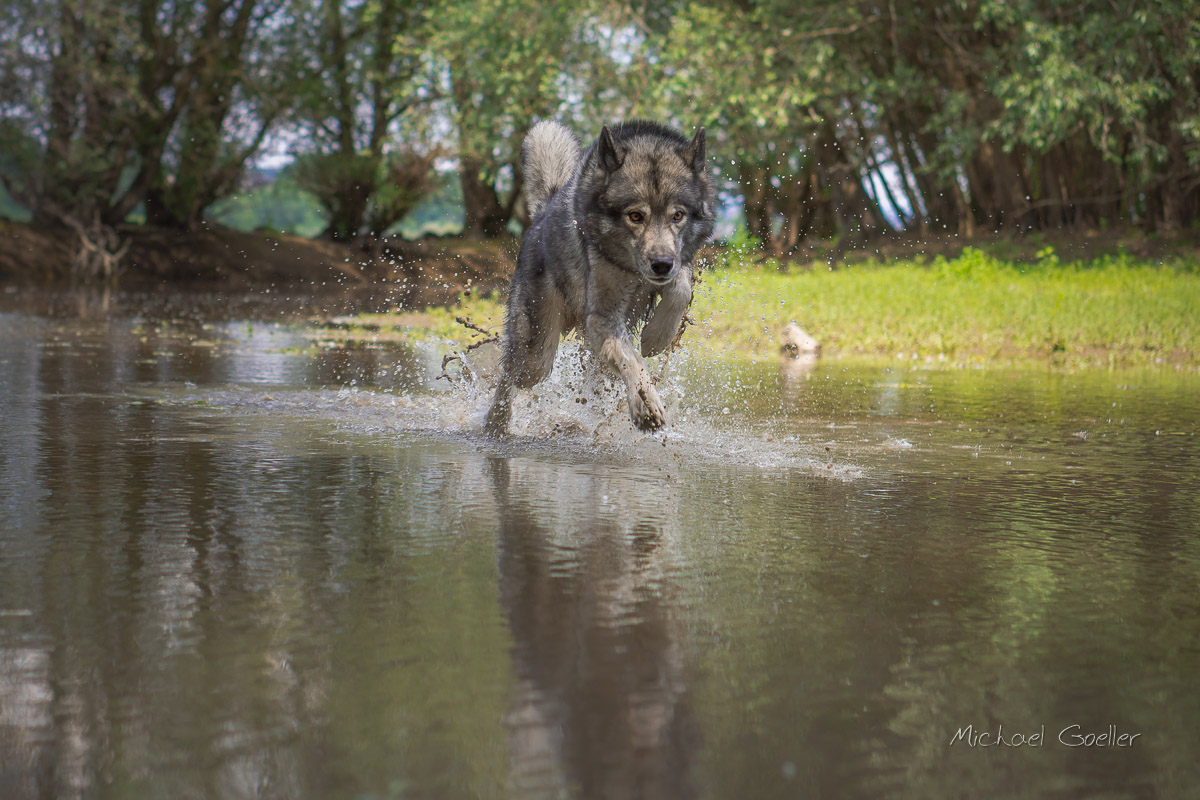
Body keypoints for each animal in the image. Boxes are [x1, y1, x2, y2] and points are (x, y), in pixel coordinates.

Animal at [484, 119, 710, 434]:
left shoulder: (681, 264)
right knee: (510, 374)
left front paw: (656, 338)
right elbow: (631, 361)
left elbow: (680, 292)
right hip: (537, 355)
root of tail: (543, 210)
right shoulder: (603, 316)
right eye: (635, 216)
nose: (661, 265)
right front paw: (645, 405)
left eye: (677, 216)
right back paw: (495, 424)